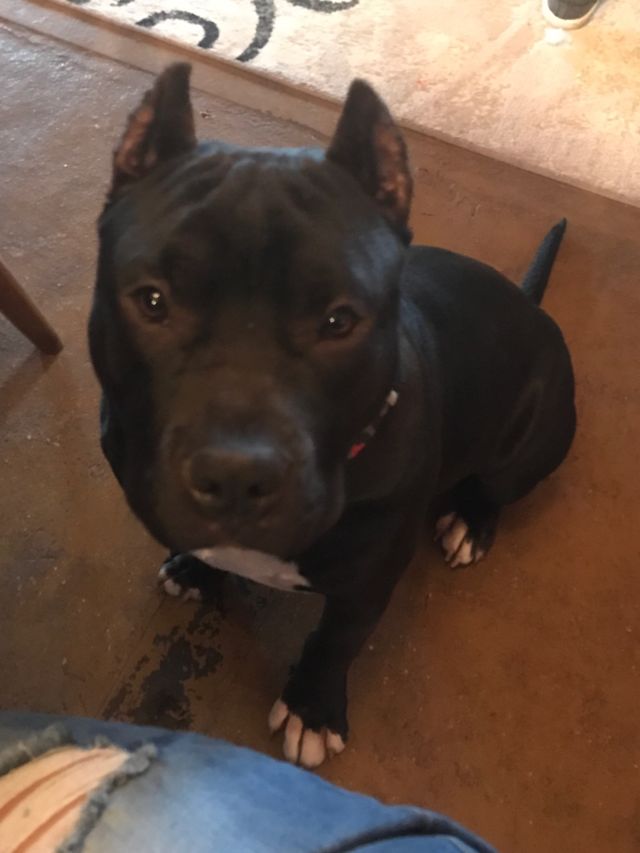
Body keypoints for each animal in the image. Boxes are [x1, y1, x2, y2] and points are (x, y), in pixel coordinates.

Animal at [89, 64, 576, 769]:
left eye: (338, 321)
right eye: (153, 301)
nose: (235, 475)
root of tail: (528, 302)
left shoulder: (366, 584)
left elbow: (334, 642)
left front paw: (312, 708)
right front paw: (196, 565)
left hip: (537, 435)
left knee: (499, 485)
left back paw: (472, 520)